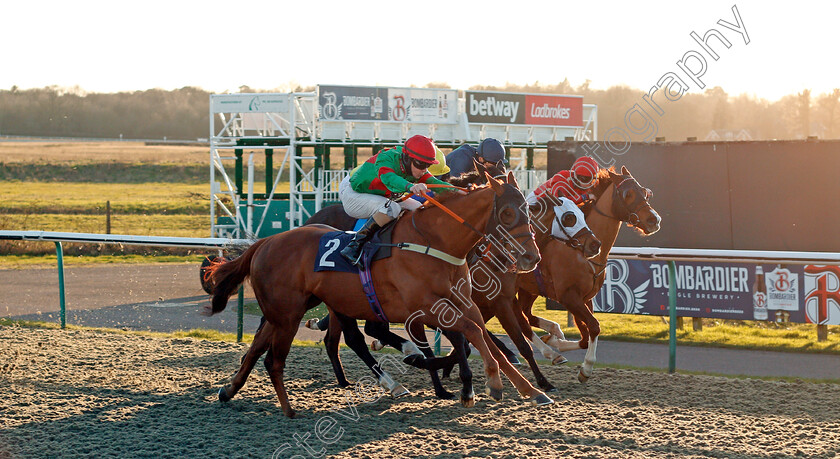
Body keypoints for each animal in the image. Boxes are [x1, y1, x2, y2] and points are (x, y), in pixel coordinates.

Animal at [208, 172, 552, 416]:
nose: (532, 258)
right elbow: (471, 335)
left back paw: (229, 391)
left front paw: (532, 390)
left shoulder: (463, 303)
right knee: (294, 352)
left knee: (257, 347)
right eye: (507, 213)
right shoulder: (427, 308)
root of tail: (264, 242)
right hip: (290, 313)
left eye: (528, 209)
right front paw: (491, 382)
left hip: (288, 311)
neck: (436, 241)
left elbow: (484, 338)